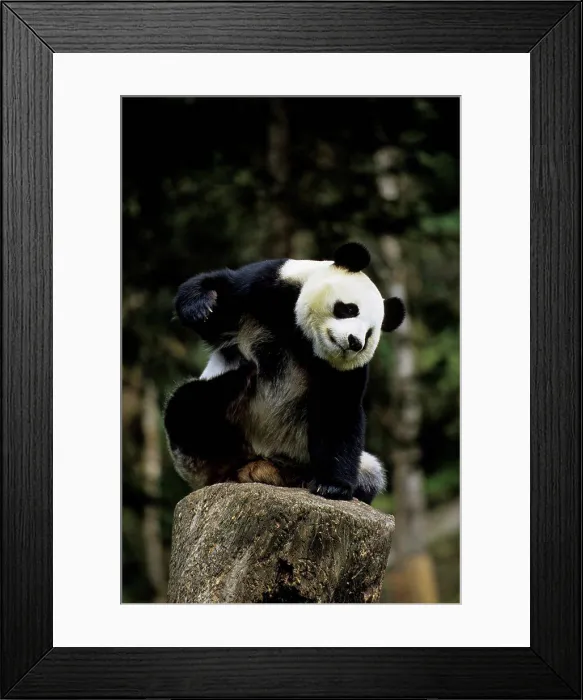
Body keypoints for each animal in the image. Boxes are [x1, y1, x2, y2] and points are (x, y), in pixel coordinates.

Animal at [163, 241, 405, 504]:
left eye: (370, 333)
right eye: (349, 309)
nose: (354, 342)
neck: (303, 336)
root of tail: (258, 462)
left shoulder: (343, 370)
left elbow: (338, 411)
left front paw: (332, 486)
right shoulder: (267, 287)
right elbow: (222, 293)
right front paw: (201, 307)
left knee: (371, 474)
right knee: (189, 405)